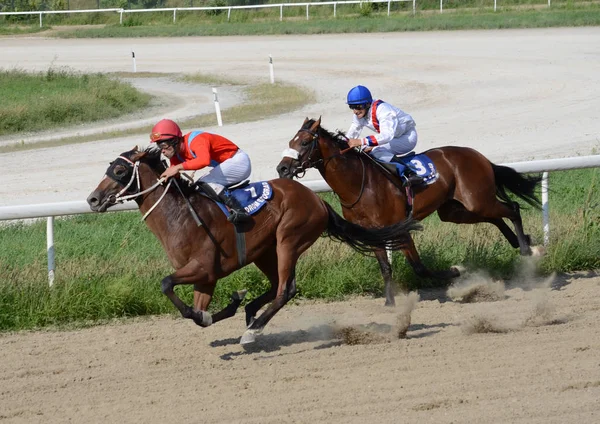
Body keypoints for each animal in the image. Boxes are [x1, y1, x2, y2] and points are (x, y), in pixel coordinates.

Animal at [86, 146, 420, 344]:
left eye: (119, 171)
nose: (92, 199)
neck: (179, 216)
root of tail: (318, 200)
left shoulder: (203, 268)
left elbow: (166, 284)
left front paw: (230, 312)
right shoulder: (206, 278)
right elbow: (198, 314)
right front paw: (229, 305)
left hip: (289, 240)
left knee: (286, 288)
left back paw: (253, 330)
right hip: (265, 251)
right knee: (275, 286)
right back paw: (250, 313)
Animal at [278, 117, 544, 306]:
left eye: (304, 143)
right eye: (290, 142)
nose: (282, 169)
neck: (360, 184)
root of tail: (479, 156)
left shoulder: (400, 229)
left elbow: (419, 267)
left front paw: (455, 271)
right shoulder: (372, 232)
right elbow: (386, 268)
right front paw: (389, 302)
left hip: (476, 200)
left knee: (513, 208)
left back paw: (525, 248)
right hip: (457, 210)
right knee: (497, 217)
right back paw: (522, 242)